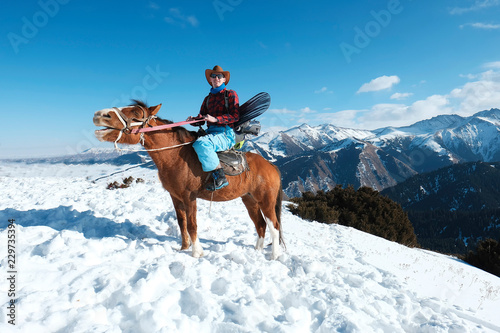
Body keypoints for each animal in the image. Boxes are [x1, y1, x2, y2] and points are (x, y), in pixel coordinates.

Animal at [91, 100, 284, 258]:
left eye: (137, 113)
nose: (100, 114)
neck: (175, 155)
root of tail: (272, 166)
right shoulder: (175, 197)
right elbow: (181, 222)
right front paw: (184, 248)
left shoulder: (189, 197)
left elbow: (192, 225)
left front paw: (196, 252)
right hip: (249, 200)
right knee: (260, 225)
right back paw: (257, 250)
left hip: (266, 200)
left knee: (274, 225)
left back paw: (274, 255)